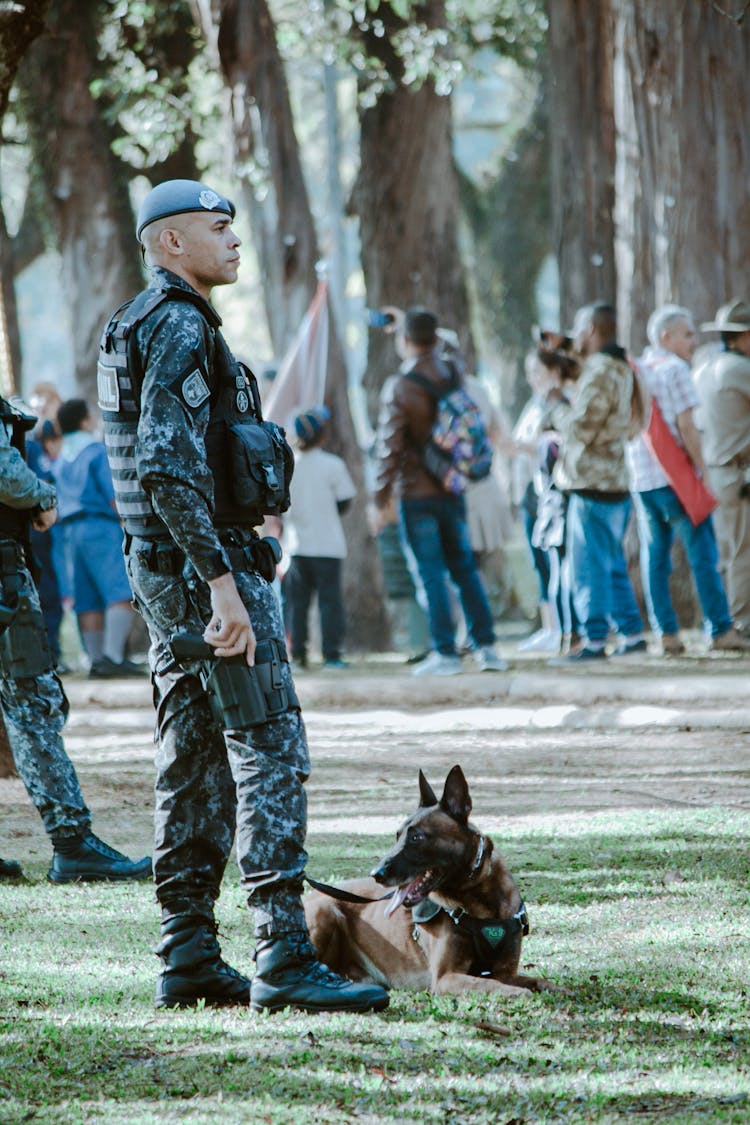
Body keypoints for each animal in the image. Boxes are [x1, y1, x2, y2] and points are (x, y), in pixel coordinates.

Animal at [305, 765, 562, 994]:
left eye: (416, 837)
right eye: (397, 836)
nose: (376, 874)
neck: (480, 903)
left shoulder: (505, 972)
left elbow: (535, 980)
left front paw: (555, 988)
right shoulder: (446, 978)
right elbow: (488, 984)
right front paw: (517, 993)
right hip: (325, 911)